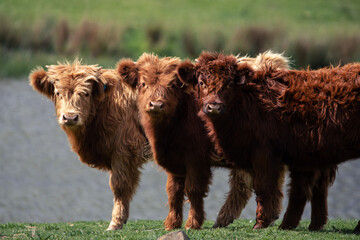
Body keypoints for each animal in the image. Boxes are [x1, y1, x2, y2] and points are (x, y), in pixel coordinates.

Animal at [28, 60, 150, 231]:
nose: (70, 117)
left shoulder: (124, 149)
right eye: (58, 93)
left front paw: (115, 223)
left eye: (86, 93)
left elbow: (119, 186)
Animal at [177, 52, 360, 232]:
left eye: (229, 84)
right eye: (201, 82)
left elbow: (265, 186)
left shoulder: (264, 154)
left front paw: (261, 222)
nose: (214, 107)